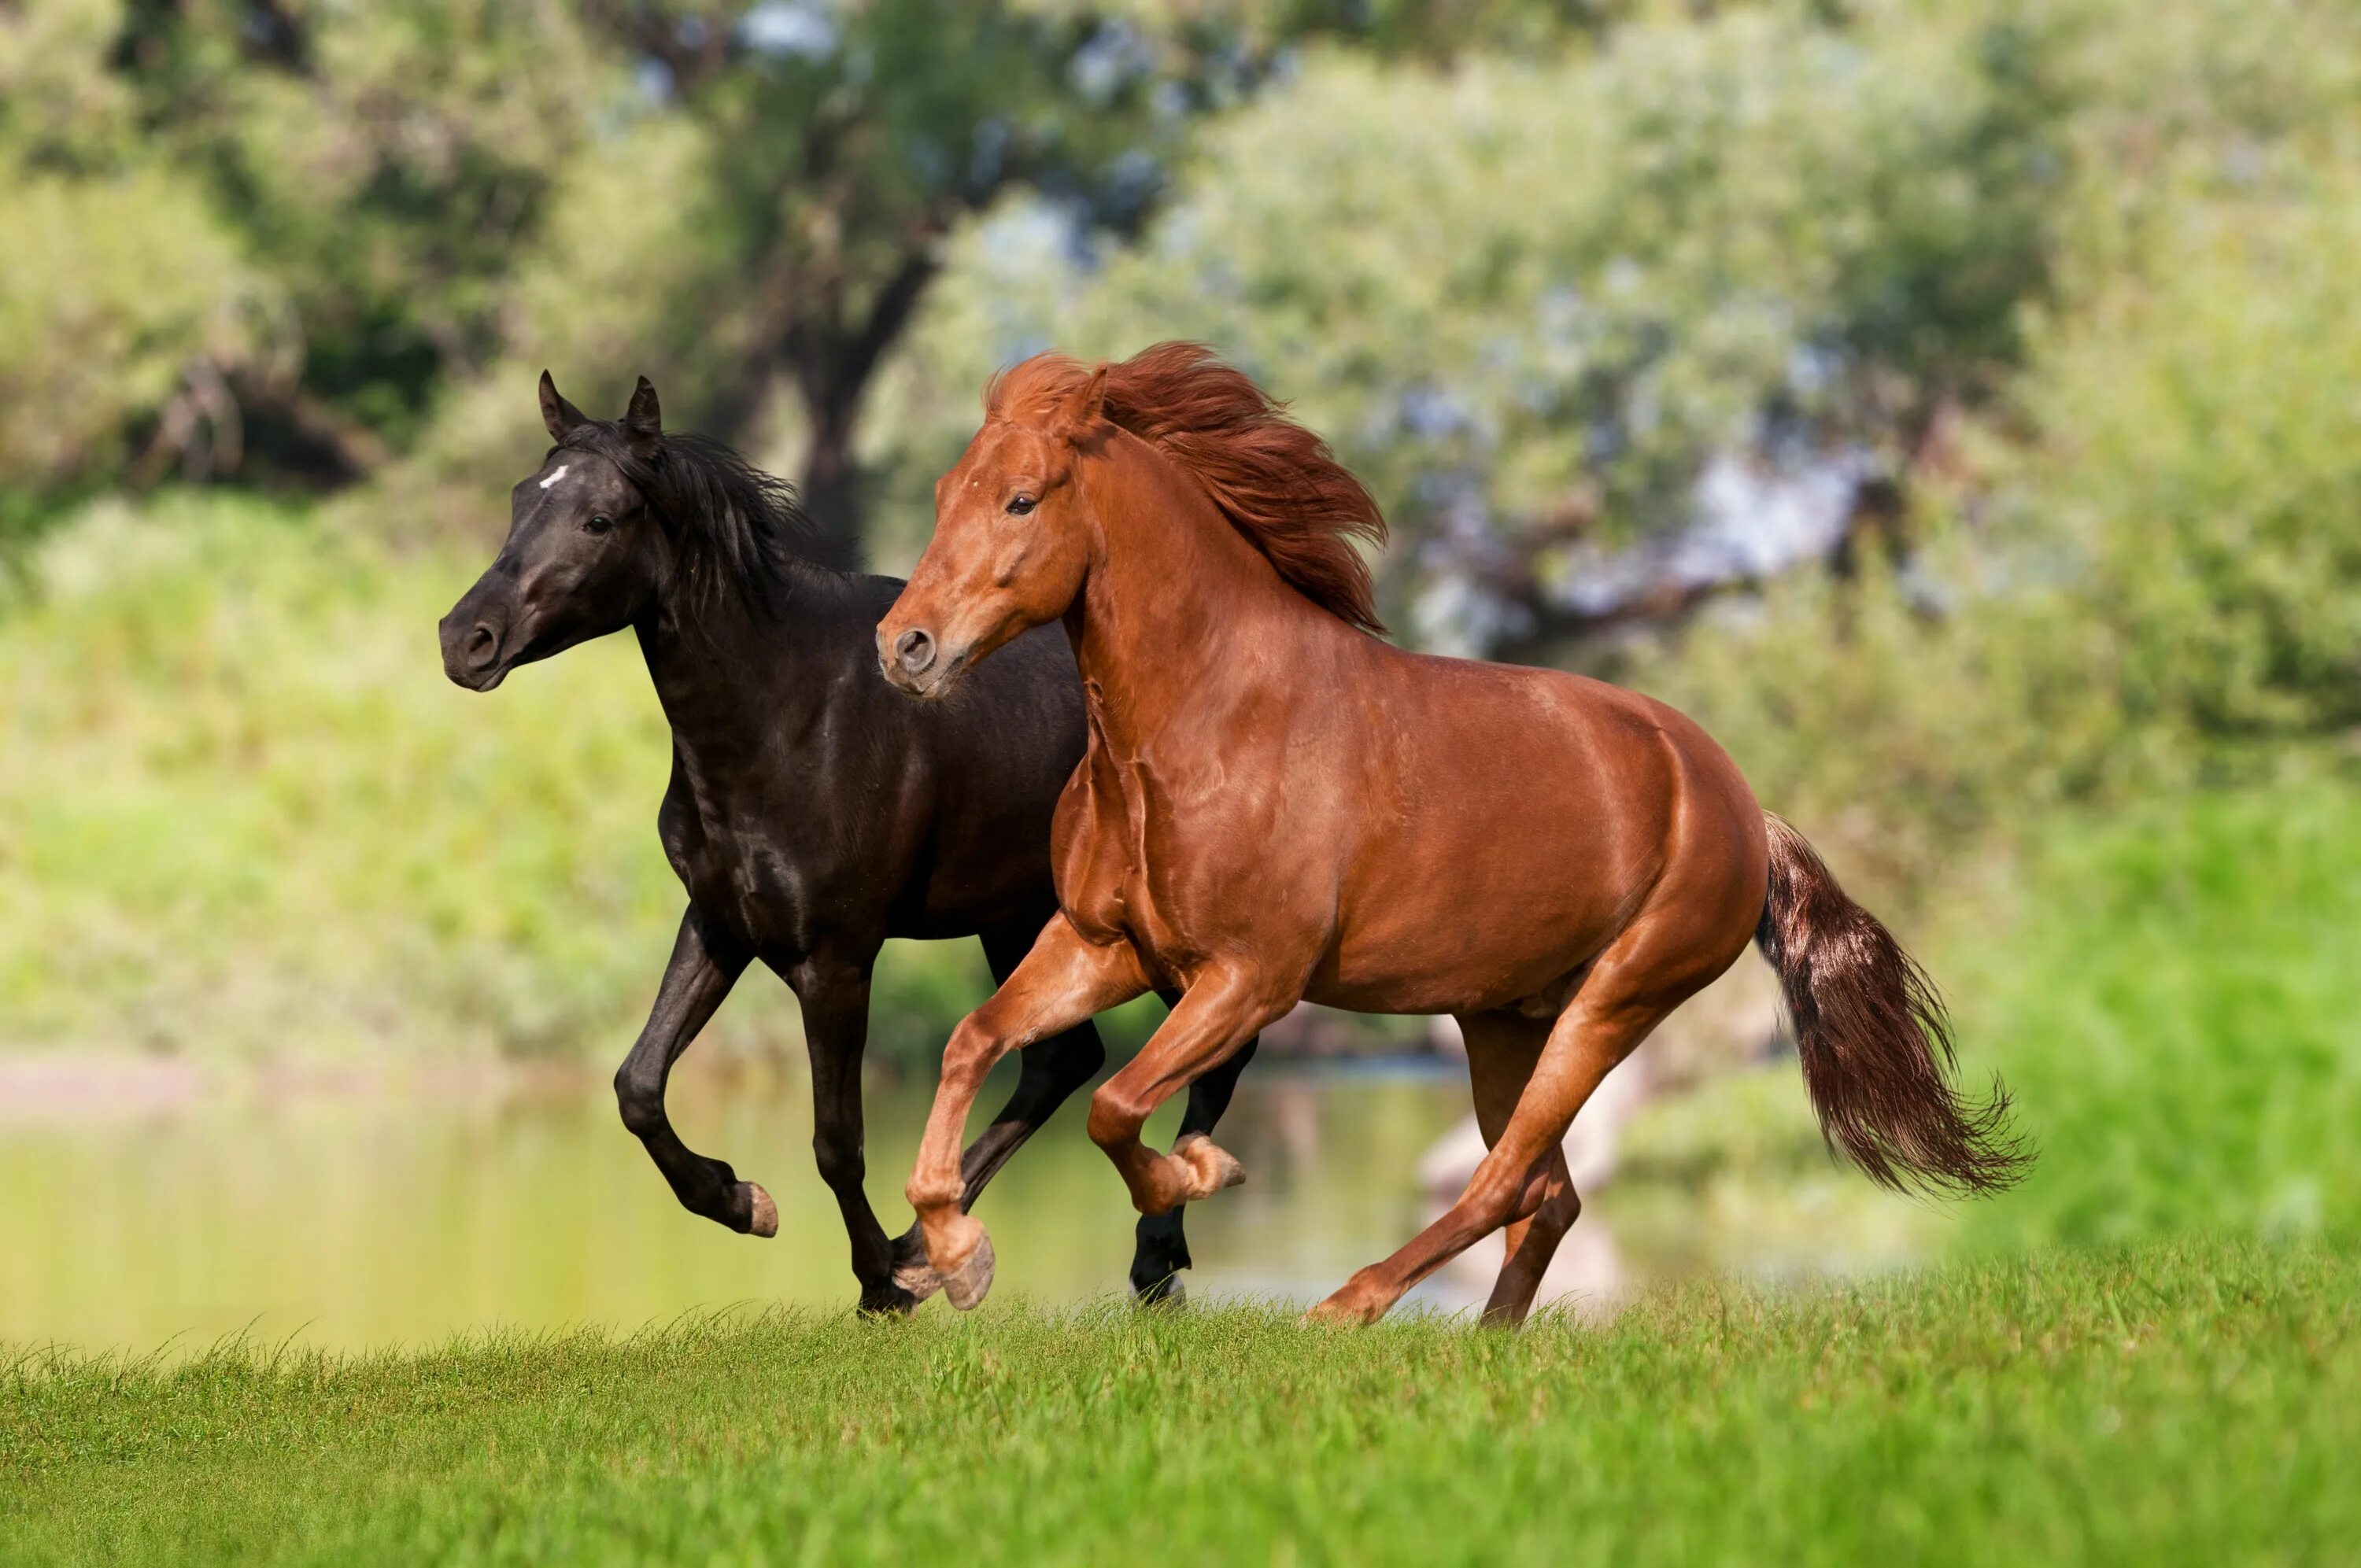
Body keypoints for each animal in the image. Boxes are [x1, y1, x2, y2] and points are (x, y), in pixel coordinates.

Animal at [444, 373, 1256, 1312]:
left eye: (599, 519)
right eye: (519, 499)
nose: (465, 639)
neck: (789, 717)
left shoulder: (835, 958)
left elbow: (837, 1138)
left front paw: (878, 1284)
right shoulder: (721, 923)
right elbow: (637, 1085)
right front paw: (745, 1201)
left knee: (1214, 1049)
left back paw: (1146, 1253)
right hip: (1018, 920)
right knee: (1065, 1060)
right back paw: (941, 1251)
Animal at [878, 347, 2021, 1322]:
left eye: (1022, 498)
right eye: (940, 495)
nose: (905, 646)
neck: (1202, 726)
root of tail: (1741, 802)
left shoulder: (1250, 976)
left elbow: (1114, 1106)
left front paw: (1197, 1173)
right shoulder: (1102, 946)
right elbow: (973, 1039)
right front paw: (955, 1256)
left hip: (1613, 1003)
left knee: (1506, 1178)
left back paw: (1347, 1307)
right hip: (1502, 1018)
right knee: (1549, 1194)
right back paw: (1485, 1338)